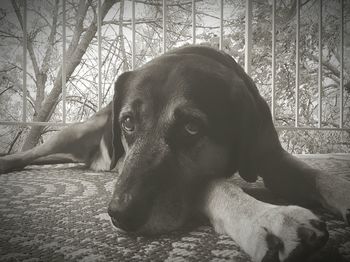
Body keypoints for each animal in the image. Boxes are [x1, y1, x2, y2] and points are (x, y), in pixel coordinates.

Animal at [0, 46, 350, 260]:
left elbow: (319, 175)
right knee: (37, 150)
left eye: (192, 128)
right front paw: (267, 217)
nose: (120, 215)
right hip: (74, 133)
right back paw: (8, 161)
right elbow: (218, 185)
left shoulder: (271, 157)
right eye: (128, 122)